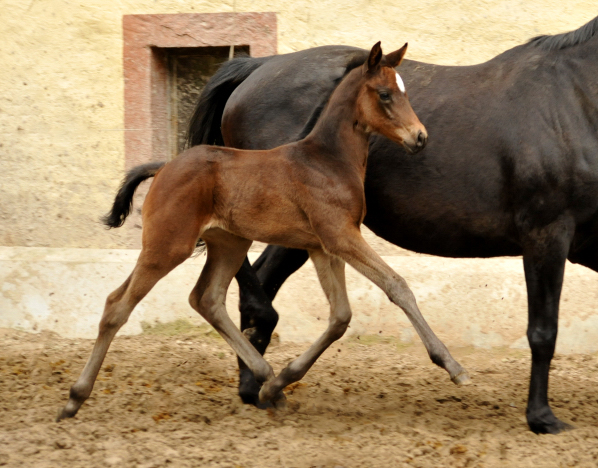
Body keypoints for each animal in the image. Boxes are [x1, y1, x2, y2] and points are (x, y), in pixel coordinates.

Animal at [58, 41, 472, 420]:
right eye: (385, 94)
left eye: (405, 91)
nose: (419, 137)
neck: (328, 159)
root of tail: (163, 167)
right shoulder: (341, 236)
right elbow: (396, 286)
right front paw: (453, 367)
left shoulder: (322, 246)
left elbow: (340, 316)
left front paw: (280, 383)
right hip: (167, 245)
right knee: (117, 305)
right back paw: (75, 399)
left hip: (229, 244)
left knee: (207, 299)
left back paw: (266, 378)